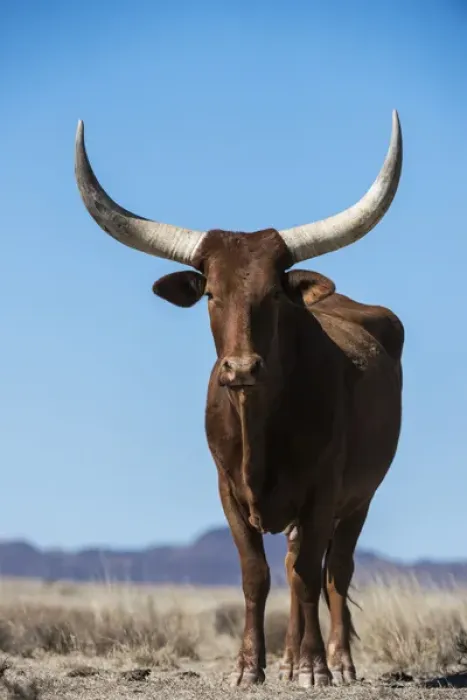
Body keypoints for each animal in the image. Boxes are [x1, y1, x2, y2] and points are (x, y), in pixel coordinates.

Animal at [74, 110, 404, 688]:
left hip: (360, 497)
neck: (260, 428)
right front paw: (251, 667)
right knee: (296, 567)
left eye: (273, 294)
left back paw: (337, 662)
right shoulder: (227, 490)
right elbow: (258, 575)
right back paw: (291, 658)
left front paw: (315, 668)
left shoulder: (324, 491)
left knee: (334, 572)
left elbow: (310, 574)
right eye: (211, 293)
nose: (242, 368)